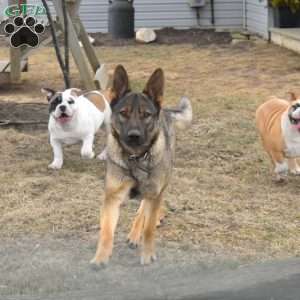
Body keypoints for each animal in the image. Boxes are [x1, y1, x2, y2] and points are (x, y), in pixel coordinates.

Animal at [90, 65, 192, 264]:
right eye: (123, 113)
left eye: (146, 115)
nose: (134, 136)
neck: (135, 158)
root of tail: (165, 110)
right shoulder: (112, 197)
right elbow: (106, 231)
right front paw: (101, 258)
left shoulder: (154, 192)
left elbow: (149, 228)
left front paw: (148, 255)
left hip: (160, 185)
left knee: (146, 209)